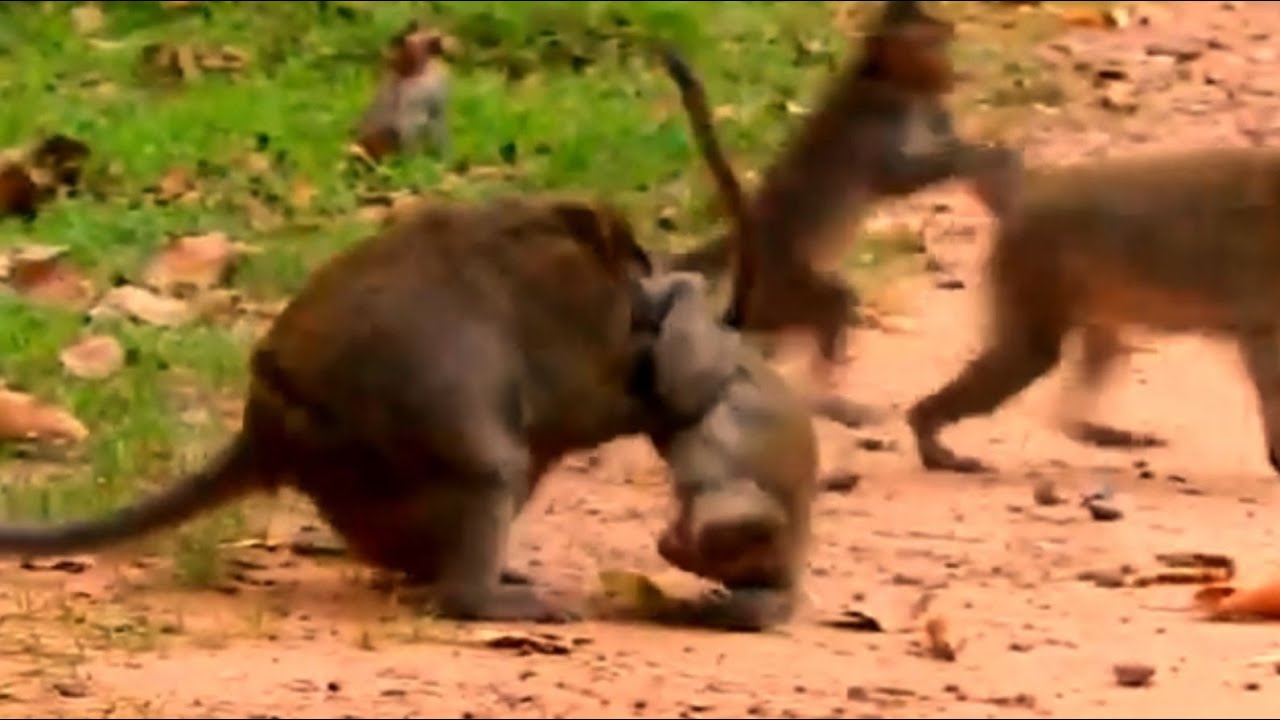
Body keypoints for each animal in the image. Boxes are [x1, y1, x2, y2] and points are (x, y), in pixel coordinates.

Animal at [0, 193, 681, 623]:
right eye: (638, 262)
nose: (652, 295)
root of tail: (269, 424)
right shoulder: (571, 316)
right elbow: (577, 408)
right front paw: (655, 399)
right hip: (373, 448)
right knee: (489, 468)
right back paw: (471, 596)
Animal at [635, 270, 818, 631]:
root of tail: (791, 572)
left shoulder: (702, 360)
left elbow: (683, 387)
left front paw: (681, 284)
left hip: (764, 539)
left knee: (731, 510)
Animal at [660, 1, 1013, 393]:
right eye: (932, 43)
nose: (951, 69)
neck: (892, 82)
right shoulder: (879, 120)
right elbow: (894, 180)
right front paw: (977, 155)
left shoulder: (932, 110)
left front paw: (987, 158)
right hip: (786, 288)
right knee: (832, 298)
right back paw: (827, 369)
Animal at [908, 145, 1280, 475]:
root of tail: (1031, 192)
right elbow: (1265, 358)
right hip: (1035, 255)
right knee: (1030, 353)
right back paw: (927, 430)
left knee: (1093, 354)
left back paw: (1088, 429)